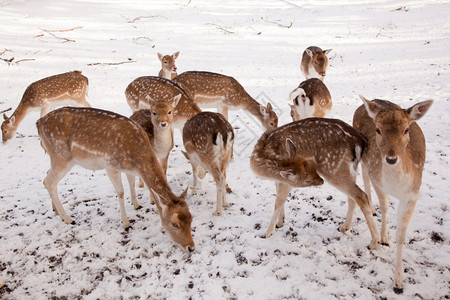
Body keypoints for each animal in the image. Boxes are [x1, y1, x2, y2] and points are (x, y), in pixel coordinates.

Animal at [37, 106, 195, 252]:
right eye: (174, 224)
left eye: (191, 218)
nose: (191, 247)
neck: (135, 155)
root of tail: (38, 123)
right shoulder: (110, 166)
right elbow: (120, 192)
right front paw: (126, 223)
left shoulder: (129, 169)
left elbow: (131, 182)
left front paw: (137, 205)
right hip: (61, 155)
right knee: (48, 181)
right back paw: (68, 218)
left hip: (58, 157)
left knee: (48, 175)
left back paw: (56, 210)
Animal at [251, 118, 382, 250]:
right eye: (307, 179)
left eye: (313, 170)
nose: (321, 181)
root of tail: (360, 140)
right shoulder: (279, 180)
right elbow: (280, 199)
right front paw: (280, 222)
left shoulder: (286, 182)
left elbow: (278, 202)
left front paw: (267, 233)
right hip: (350, 169)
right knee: (353, 197)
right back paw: (344, 227)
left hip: (333, 169)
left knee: (361, 195)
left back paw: (374, 242)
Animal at [354, 95, 434, 292]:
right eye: (378, 129)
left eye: (406, 129)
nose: (391, 158)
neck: (395, 185)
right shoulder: (379, 181)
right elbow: (384, 206)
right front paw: (382, 239)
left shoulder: (412, 194)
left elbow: (401, 235)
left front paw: (398, 281)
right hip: (364, 158)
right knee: (365, 178)